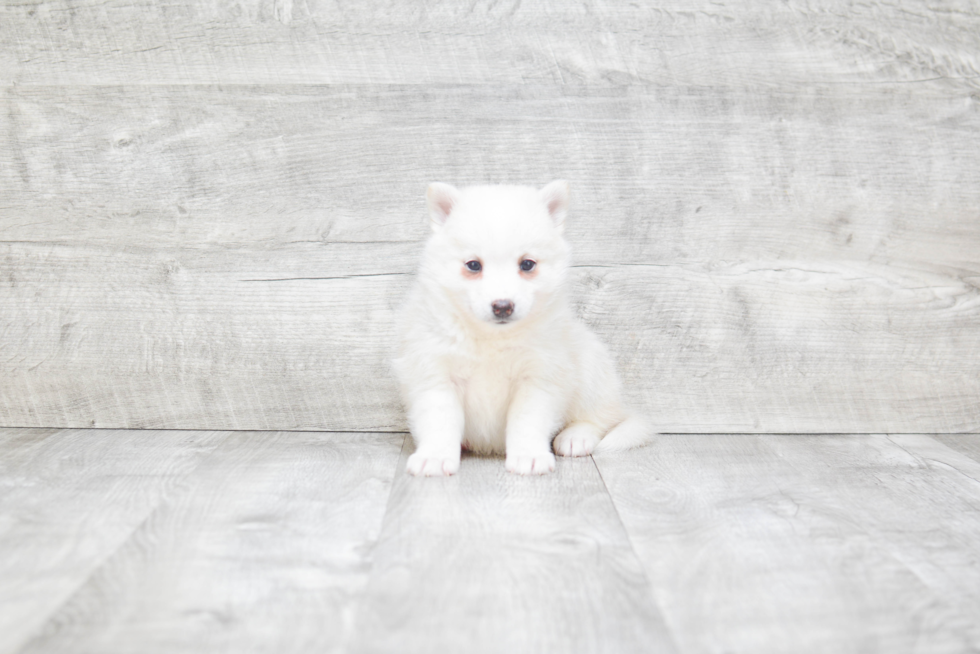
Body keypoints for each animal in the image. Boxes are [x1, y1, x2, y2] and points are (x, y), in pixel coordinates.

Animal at [390, 182, 652, 480]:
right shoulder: (436, 373)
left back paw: (576, 437)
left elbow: (527, 422)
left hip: (592, 370)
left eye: (527, 264)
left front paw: (529, 456)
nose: (503, 306)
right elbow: (440, 421)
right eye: (473, 265)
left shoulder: (538, 377)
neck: (492, 338)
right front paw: (434, 457)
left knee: (599, 418)